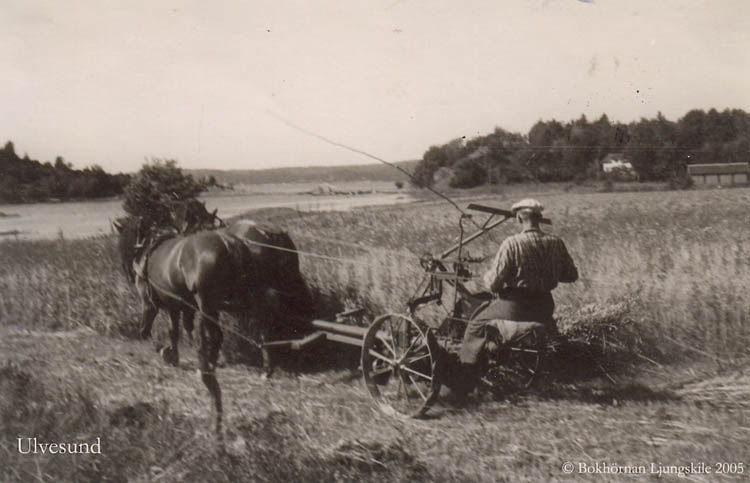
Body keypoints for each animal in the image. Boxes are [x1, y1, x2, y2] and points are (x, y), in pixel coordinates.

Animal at [112, 217, 312, 436]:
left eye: (123, 242)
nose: (129, 273)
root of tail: (229, 242)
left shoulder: (163, 303)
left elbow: (161, 330)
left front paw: (167, 352)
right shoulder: (187, 304)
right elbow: (185, 328)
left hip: (208, 302)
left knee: (221, 333)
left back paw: (213, 365)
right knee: (261, 325)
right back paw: (262, 364)